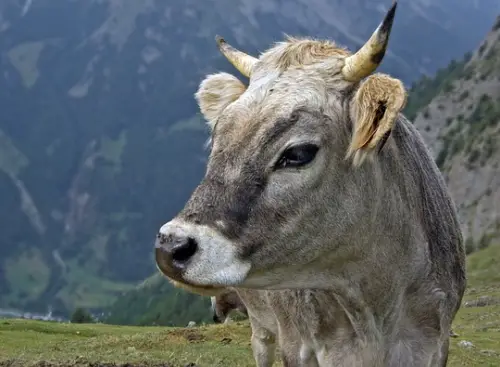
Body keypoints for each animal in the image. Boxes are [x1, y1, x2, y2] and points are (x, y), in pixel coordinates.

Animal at [154, 1, 466, 366]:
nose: (171, 246)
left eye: (299, 153)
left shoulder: (435, 344)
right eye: (218, 136)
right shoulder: (297, 344)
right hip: (263, 325)